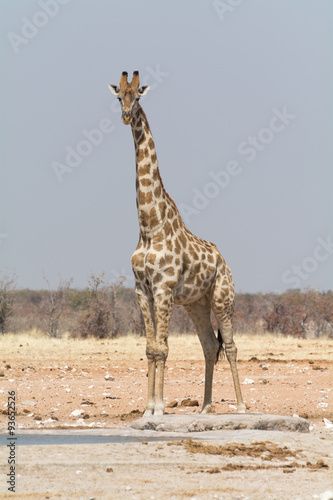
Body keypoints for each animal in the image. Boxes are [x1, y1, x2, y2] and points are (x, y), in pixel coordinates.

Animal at [109, 69, 246, 414]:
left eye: (138, 96)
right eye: (118, 96)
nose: (126, 116)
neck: (149, 226)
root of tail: (224, 260)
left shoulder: (164, 289)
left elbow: (163, 348)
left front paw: (158, 407)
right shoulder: (142, 290)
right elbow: (151, 348)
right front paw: (148, 408)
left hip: (223, 297)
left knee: (231, 346)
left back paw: (241, 406)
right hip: (197, 304)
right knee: (210, 346)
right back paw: (205, 407)